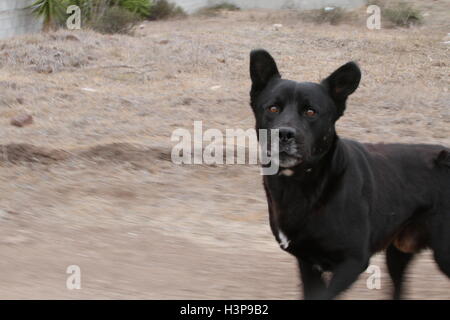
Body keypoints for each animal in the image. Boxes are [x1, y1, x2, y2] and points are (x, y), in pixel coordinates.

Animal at [250, 48, 450, 298]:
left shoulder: (353, 262)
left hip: (443, 253)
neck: (302, 183)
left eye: (311, 112)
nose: (284, 134)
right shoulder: (307, 263)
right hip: (398, 253)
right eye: (273, 108)